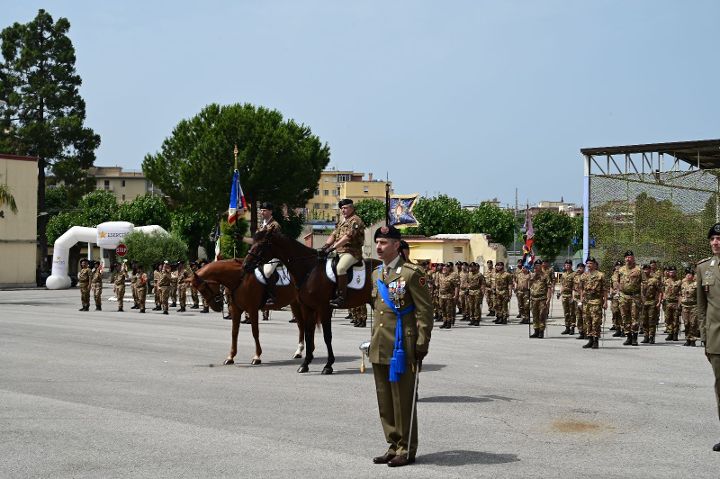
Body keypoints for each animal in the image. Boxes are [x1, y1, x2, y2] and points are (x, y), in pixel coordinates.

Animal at [243, 231, 380, 376]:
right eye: (253, 243)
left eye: (261, 244)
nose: (245, 265)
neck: (310, 269)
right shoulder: (307, 307)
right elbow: (308, 334)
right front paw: (305, 364)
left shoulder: (324, 308)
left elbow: (327, 336)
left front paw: (328, 365)